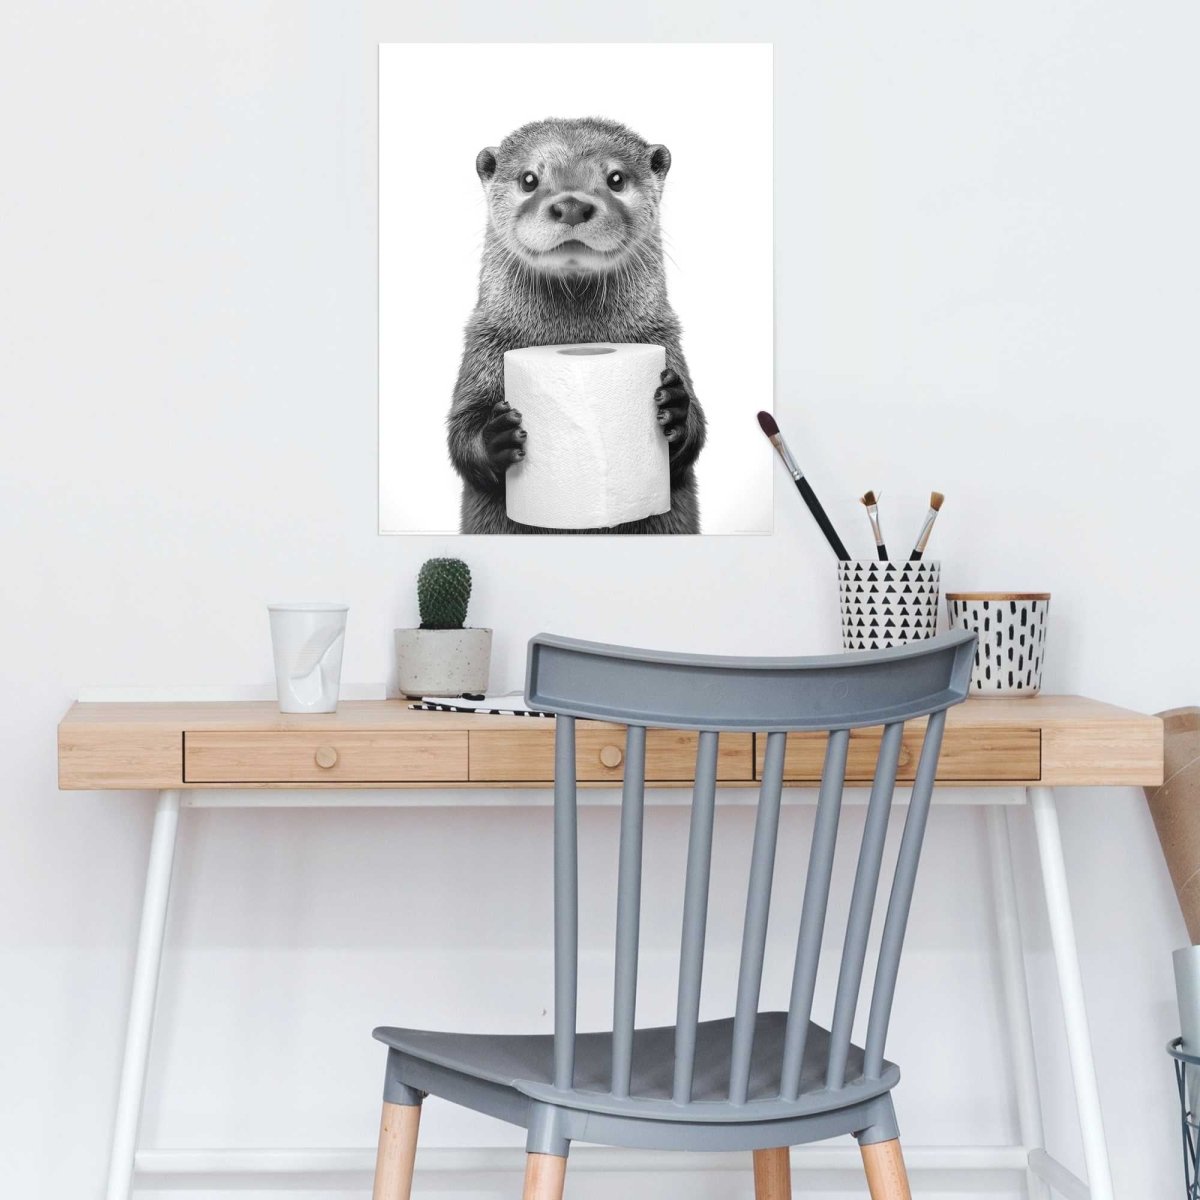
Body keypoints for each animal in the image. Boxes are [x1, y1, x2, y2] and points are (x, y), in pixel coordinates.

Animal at [447, 116, 705, 534]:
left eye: (616, 178)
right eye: (529, 179)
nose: (570, 204)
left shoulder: (664, 336)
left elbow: (693, 440)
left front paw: (676, 408)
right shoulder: (484, 342)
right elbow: (460, 434)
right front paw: (496, 436)